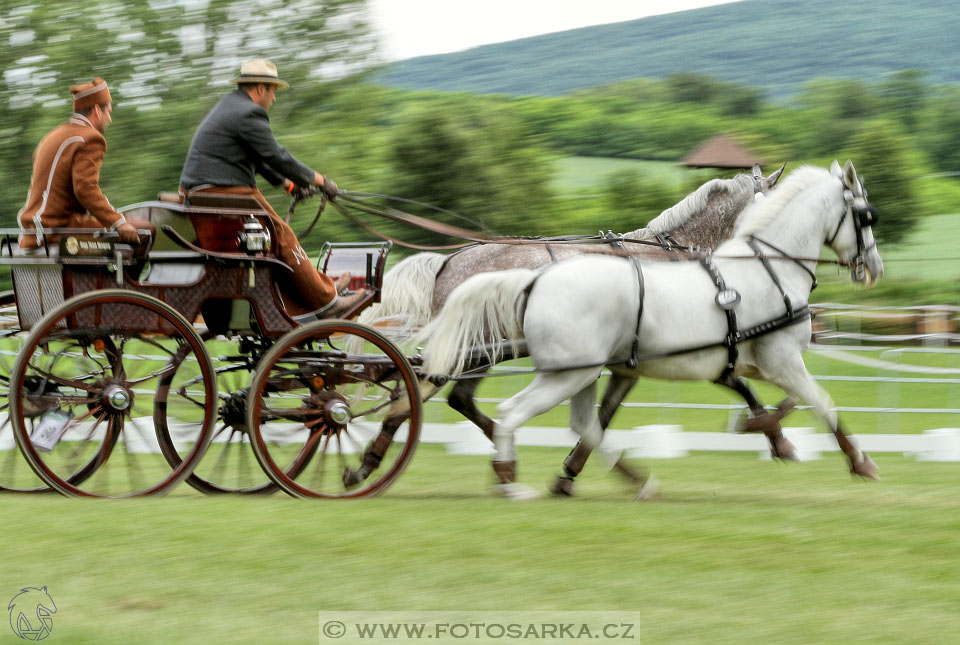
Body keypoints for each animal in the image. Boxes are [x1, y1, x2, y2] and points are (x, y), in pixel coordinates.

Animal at [420, 162, 884, 498]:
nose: (874, 269)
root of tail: (451, 260)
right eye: (866, 216)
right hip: (518, 361)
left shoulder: (694, 358)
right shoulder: (767, 358)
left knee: (465, 400)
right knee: (471, 402)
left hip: (557, 368)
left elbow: (757, 393)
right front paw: (808, 446)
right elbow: (811, 400)